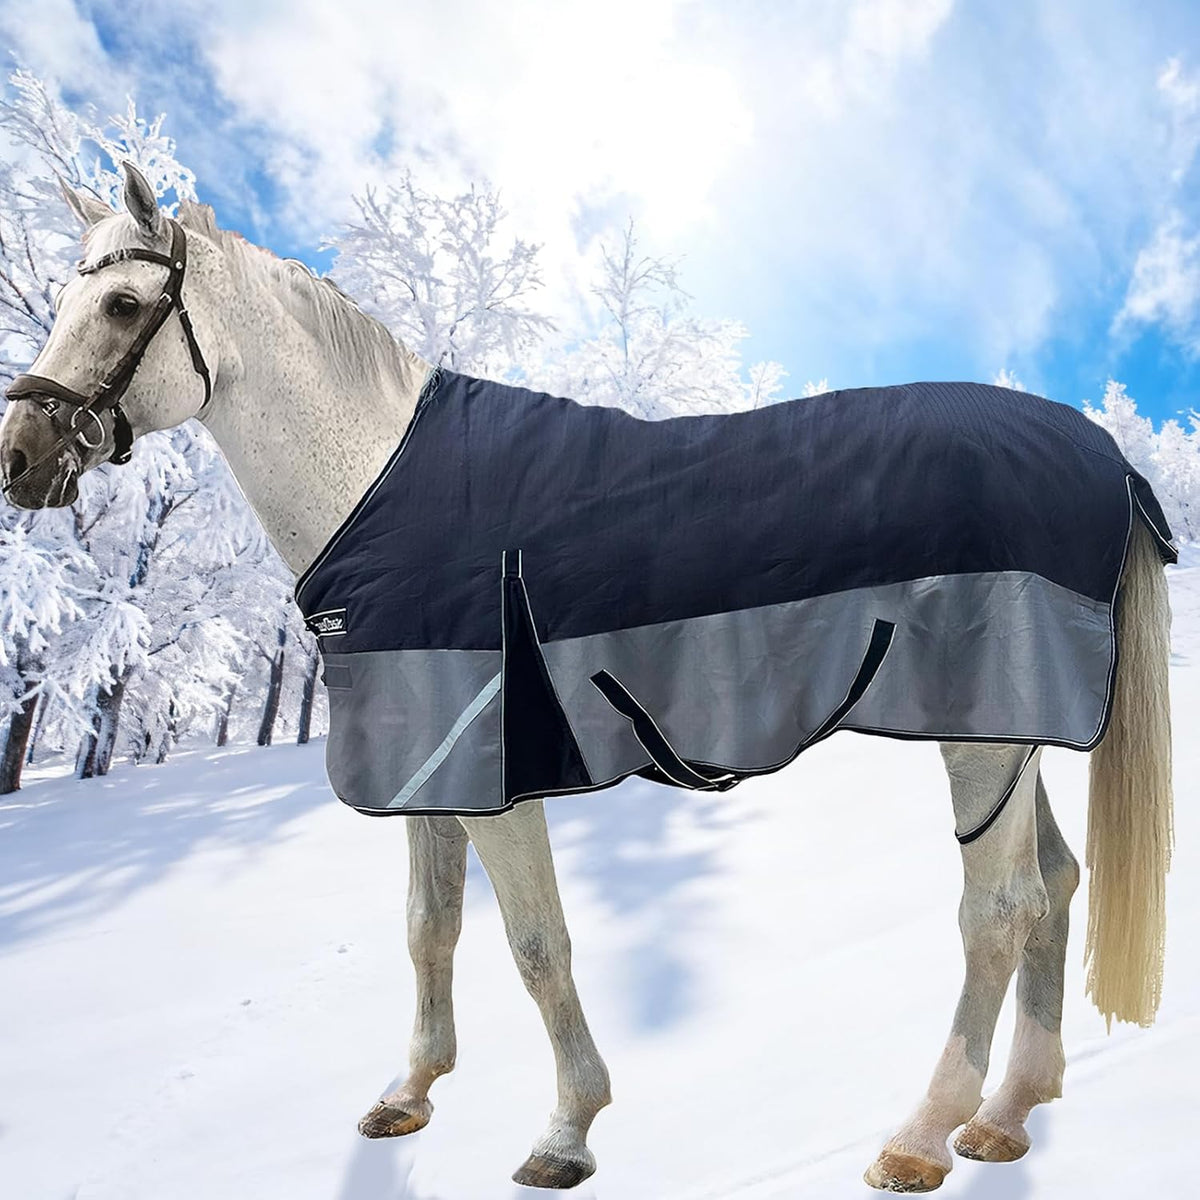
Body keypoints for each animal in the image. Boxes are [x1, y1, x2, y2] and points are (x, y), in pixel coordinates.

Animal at [0, 163, 1173, 1193]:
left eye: (120, 303)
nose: (19, 457)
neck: (379, 482)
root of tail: (1100, 457)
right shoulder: (429, 765)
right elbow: (429, 931)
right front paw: (410, 1093)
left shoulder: (497, 772)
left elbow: (536, 945)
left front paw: (566, 1133)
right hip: (1014, 735)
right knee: (1054, 887)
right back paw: (1008, 1115)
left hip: (981, 733)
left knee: (1000, 909)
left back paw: (922, 1137)